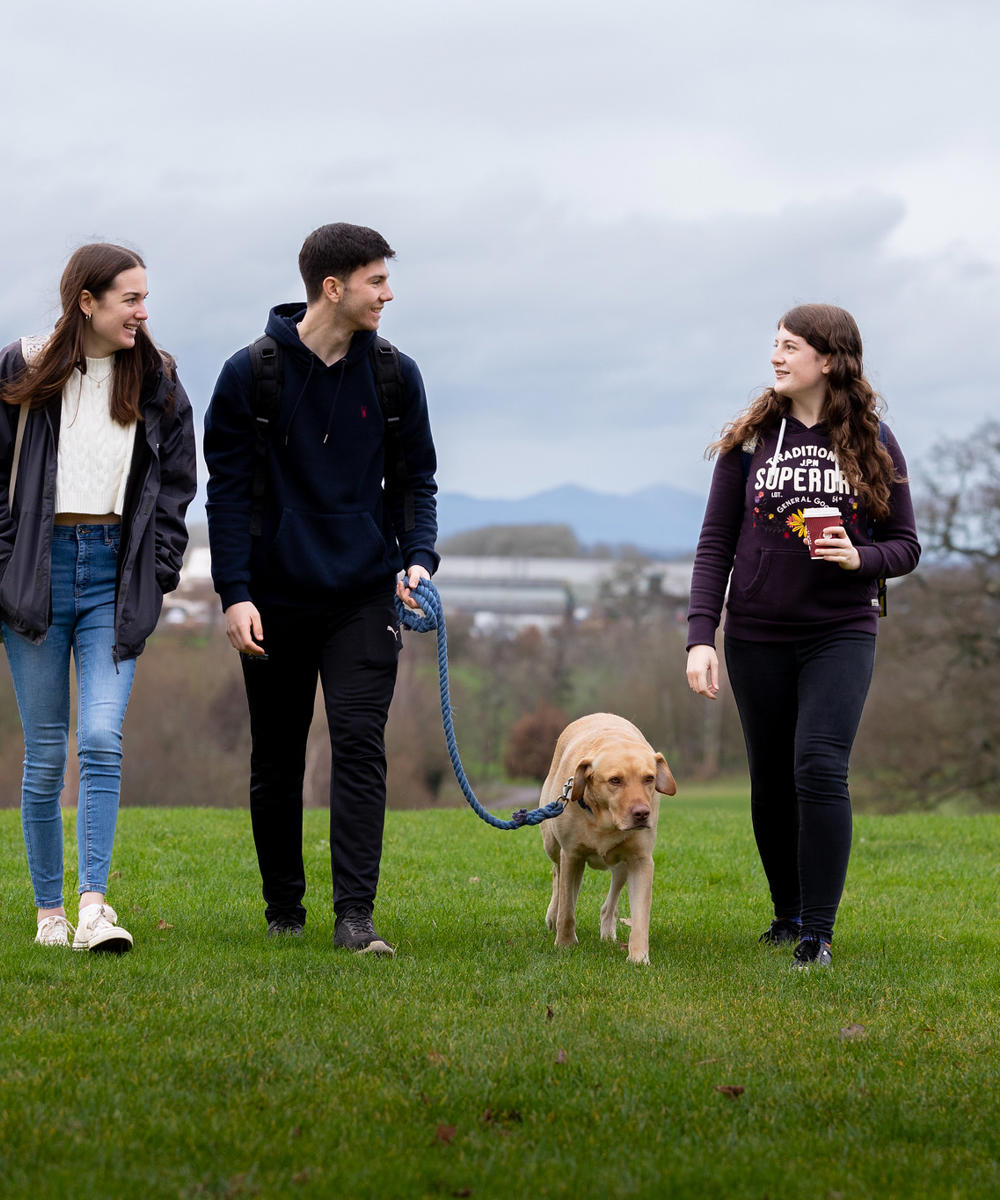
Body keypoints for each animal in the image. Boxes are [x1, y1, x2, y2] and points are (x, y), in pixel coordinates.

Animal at [542, 710, 677, 964]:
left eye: (649, 778)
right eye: (615, 780)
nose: (642, 814)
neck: (605, 821)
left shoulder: (641, 860)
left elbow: (640, 916)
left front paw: (639, 958)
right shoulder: (572, 855)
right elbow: (567, 909)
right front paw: (565, 944)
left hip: (622, 864)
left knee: (610, 900)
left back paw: (607, 931)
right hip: (552, 844)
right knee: (557, 875)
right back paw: (552, 915)